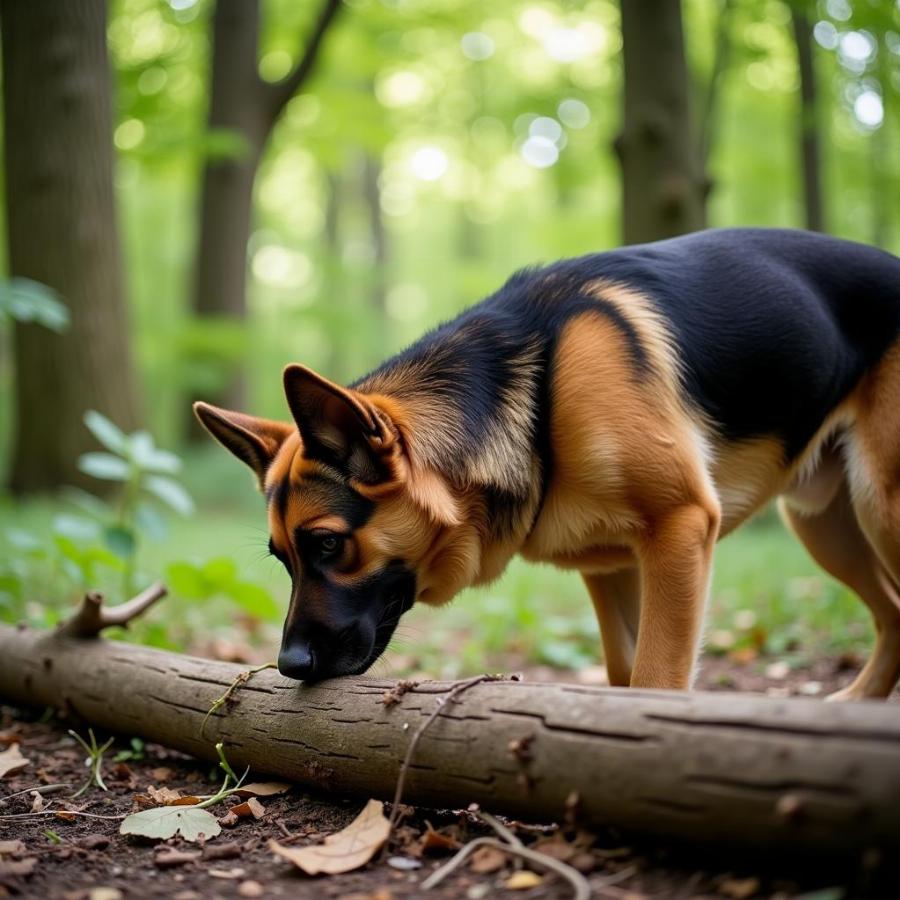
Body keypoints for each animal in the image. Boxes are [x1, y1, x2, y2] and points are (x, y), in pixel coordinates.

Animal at [195, 230, 900, 696]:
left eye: (328, 545)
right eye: (282, 558)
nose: (290, 665)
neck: (532, 399)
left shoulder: (678, 531)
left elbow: (654, 683)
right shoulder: (618, 567)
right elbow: (623, 673)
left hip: (880, 507)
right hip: (826, 526)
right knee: (891, 615)